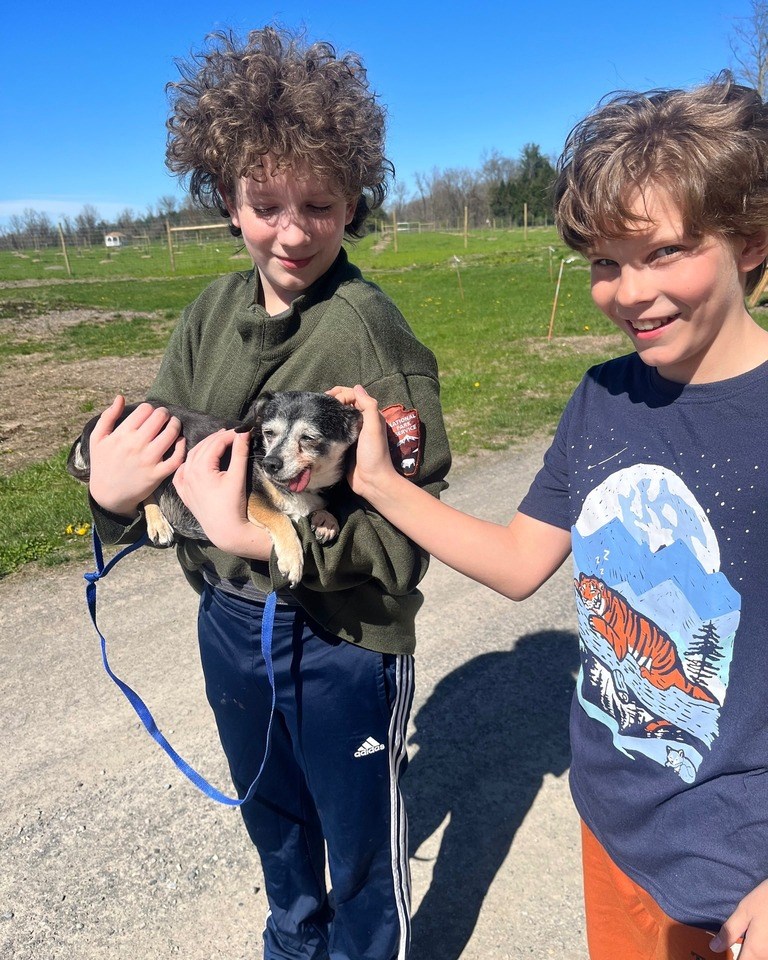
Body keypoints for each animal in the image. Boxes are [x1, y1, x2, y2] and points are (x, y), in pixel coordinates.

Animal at [67, 390, 364, 584]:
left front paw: (326, 521)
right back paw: (158, 524)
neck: (305, 489)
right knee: (145, 490)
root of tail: (92, 423)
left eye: (309, 438)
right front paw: (292, 559)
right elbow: (280, 517)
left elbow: (322, 510)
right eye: (268, 432)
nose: (270, 464)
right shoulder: (251, 499)